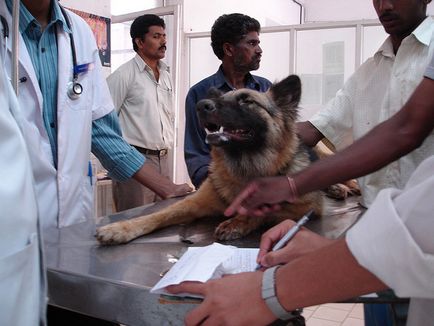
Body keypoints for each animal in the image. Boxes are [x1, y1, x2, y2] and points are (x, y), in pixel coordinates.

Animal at [96, 75, 324, 244]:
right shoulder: (193, 202)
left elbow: (265, 209)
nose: (201, 105)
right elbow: (158, 215)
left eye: (246, 100)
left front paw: (236, 222)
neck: (244, 167)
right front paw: (122, 227)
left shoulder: (307, 207)